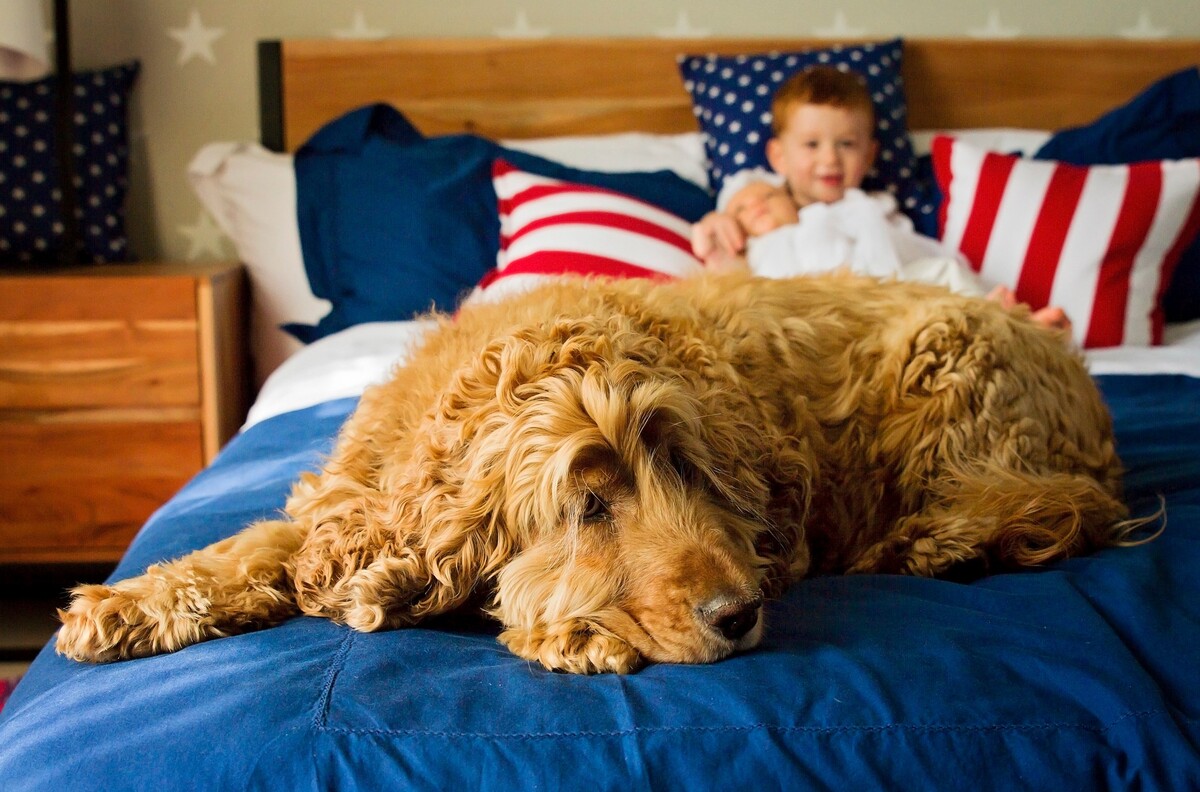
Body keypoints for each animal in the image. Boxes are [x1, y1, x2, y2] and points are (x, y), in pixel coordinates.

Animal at [56, 273, 1136, 673]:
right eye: (587, 503)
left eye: (690, 475)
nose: (738, 614)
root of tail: (1075, 371)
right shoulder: (350, 504)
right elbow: (258, 545)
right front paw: (127, 603)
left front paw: (580, 629)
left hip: (947, 357)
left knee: (1052, 502)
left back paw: (944, 540)